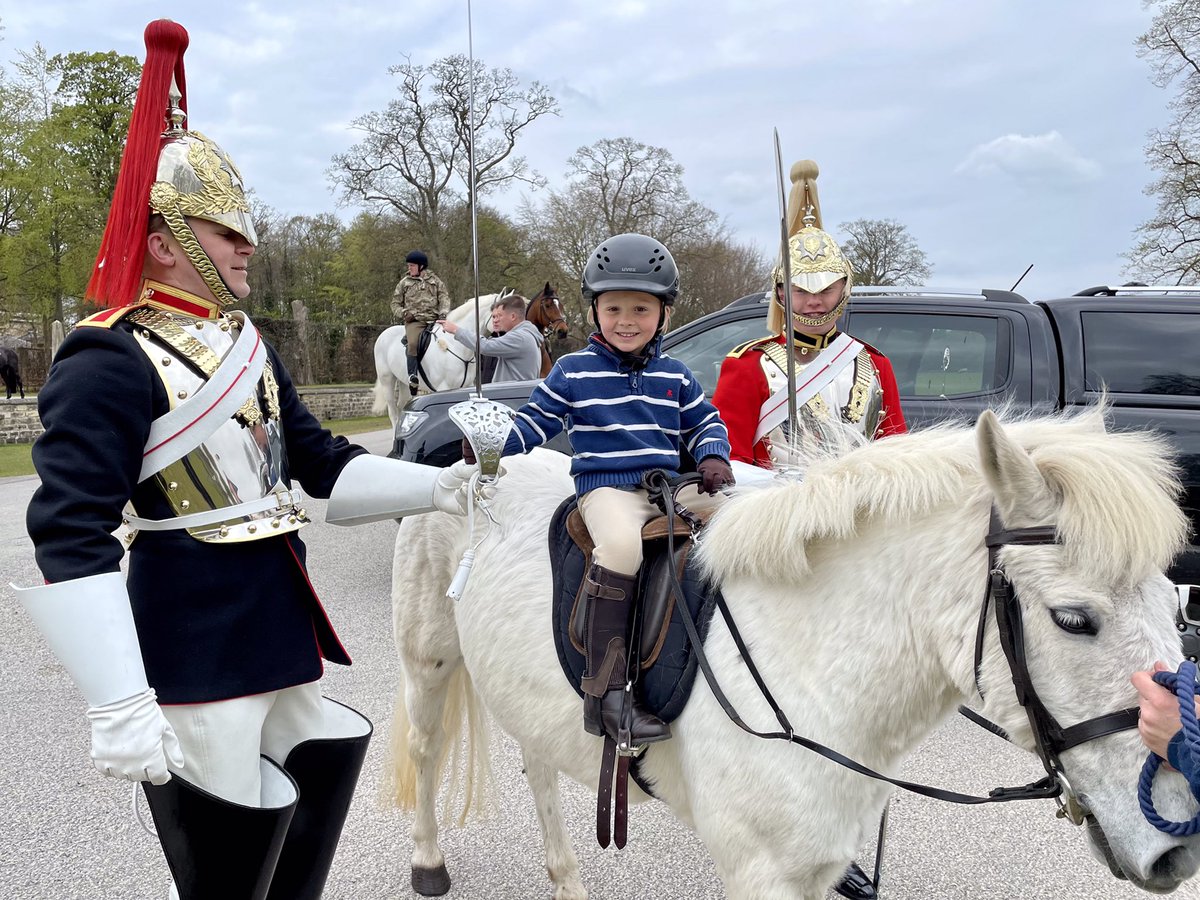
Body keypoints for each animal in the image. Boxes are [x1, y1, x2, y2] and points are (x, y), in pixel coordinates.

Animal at [372, 296, 508, 434]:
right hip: (387, 381)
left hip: (404, 382)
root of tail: (383, 334)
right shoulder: (444, 387)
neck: (455, 344)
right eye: (499, 315)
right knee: (393, 412)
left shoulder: (467, 385)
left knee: (400, 407)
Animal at [386, 410, 1200, 900]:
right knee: (425, 748)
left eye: (1178, 605)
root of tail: (468, 473)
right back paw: (427, 863)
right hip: (428, 660)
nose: (1178, 847)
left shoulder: (817, 864)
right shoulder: (761, 872)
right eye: (1074, 619)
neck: (809, 664)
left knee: (540, 766)